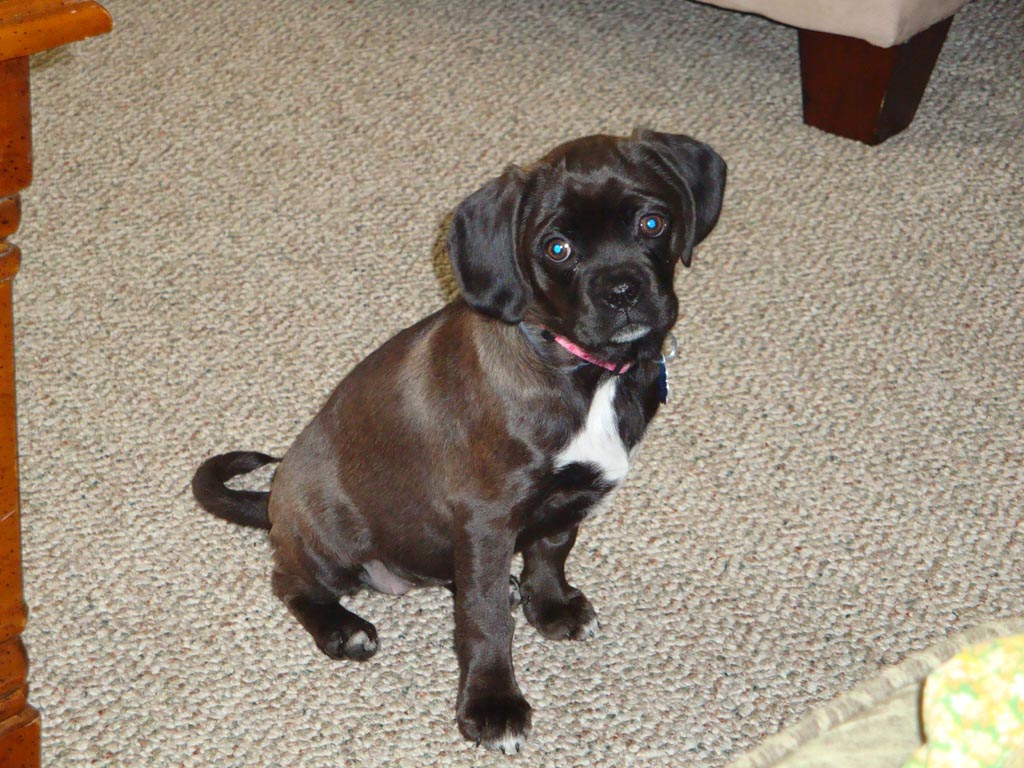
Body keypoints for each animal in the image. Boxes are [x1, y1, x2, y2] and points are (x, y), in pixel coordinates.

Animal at [192, 129, 720, 753]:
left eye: (652, 223)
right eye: (557, 248)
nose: (622, 291)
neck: (583, 371)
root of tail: (275, 502)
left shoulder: (569, 499)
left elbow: (551, 550)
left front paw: (550, 606)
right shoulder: (488, 516)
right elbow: (484, 617)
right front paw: (493, 705)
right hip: (332, 540)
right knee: (290, 582)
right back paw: (343, 628)